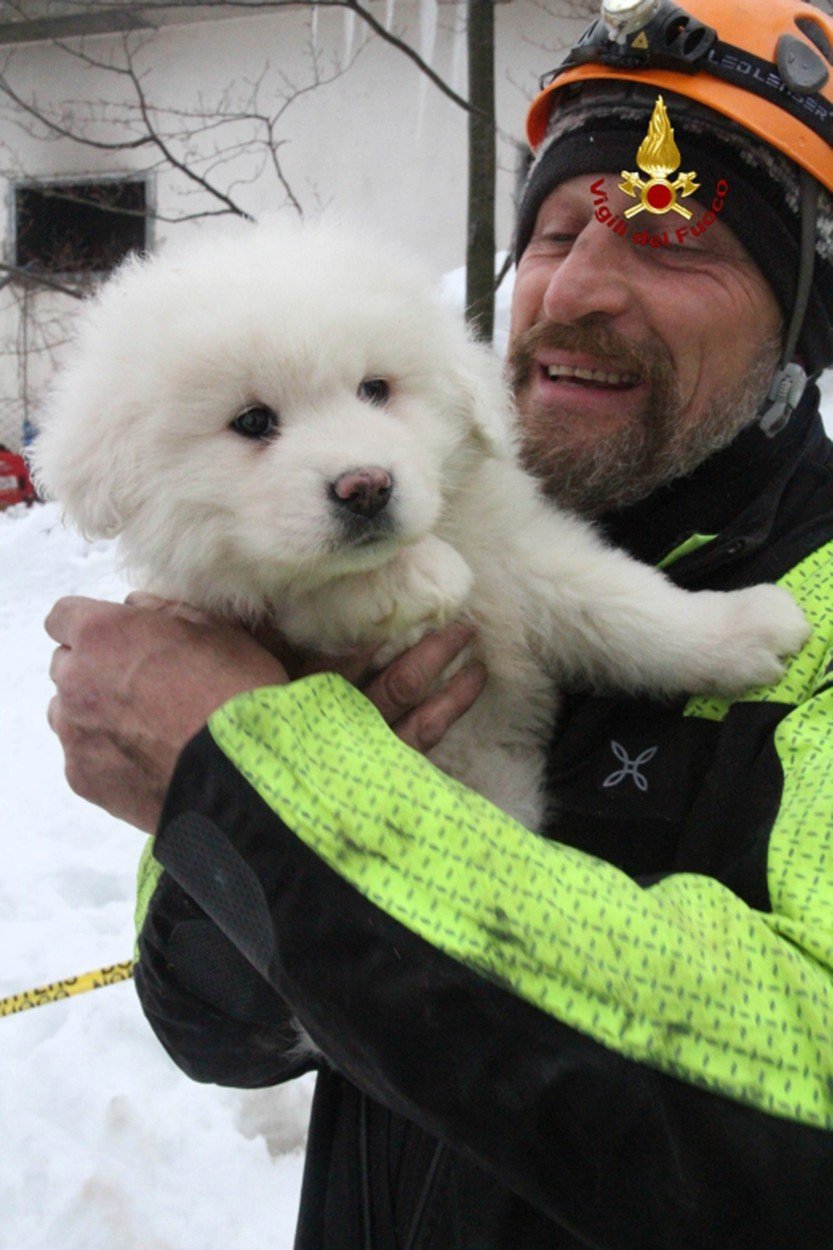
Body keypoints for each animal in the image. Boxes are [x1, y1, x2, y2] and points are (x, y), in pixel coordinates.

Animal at [32, 220, 805, 830]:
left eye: (375, 389)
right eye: (252, 423)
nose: (366, 488)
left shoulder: (522, 556)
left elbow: (626, 605)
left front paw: (745, 627)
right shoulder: (218, 590)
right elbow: (302, 586)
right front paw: (412, 576)